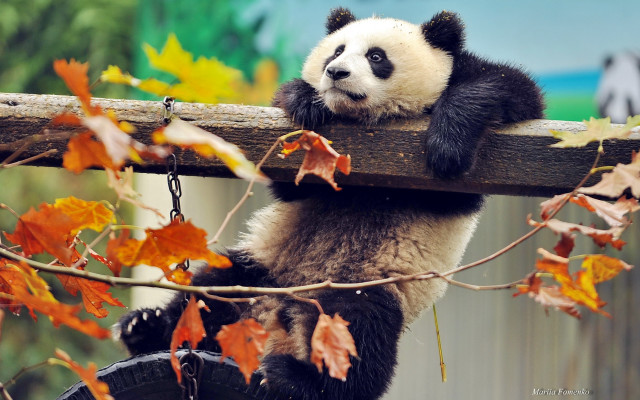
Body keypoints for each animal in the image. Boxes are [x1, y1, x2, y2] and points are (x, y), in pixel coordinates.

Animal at [116, 7, 544, 400]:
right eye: (335, 51)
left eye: (376, 56)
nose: (336, 72)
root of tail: (278, 319)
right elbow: (292, 184)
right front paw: (304, 100)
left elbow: (509, 91)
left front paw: (448, 144)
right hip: (263, 268)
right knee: (212, 290)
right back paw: (147, 327)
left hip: (366, 285)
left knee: (360, 333)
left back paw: (296, 379)